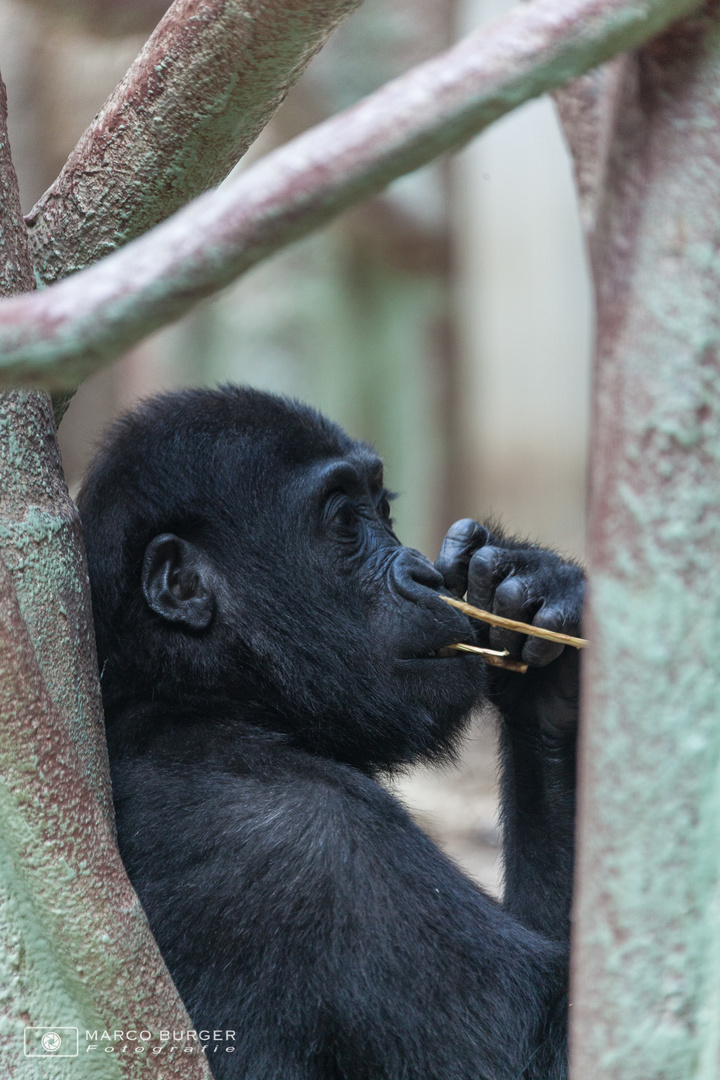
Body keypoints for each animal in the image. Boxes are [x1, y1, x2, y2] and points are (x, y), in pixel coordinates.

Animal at [78, 388, 582, 1080]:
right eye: (345, 520)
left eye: (383, 508)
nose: (425, 574)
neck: (205, 698)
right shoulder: (316, 845)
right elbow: (547, 1045)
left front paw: (536, 600)